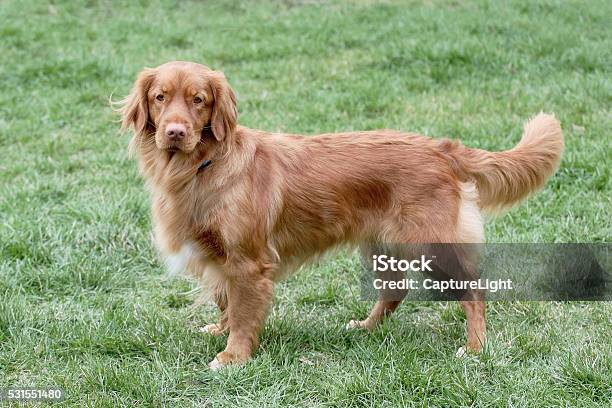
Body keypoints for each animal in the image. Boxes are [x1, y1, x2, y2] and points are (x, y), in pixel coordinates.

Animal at [118, 60, 564, 370]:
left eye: (199, 100)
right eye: (160, 97)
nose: (175, 132)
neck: (202, 166)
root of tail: (441, 148)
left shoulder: (248, 262)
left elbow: (244, 313)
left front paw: (233, 356)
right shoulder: (220, 257)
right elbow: (225, 301)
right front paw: (220, 330)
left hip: (433, 246)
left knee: (474, 291)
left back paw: (474, 347)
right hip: (381, 246)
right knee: (395, 291)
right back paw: (366, 328)